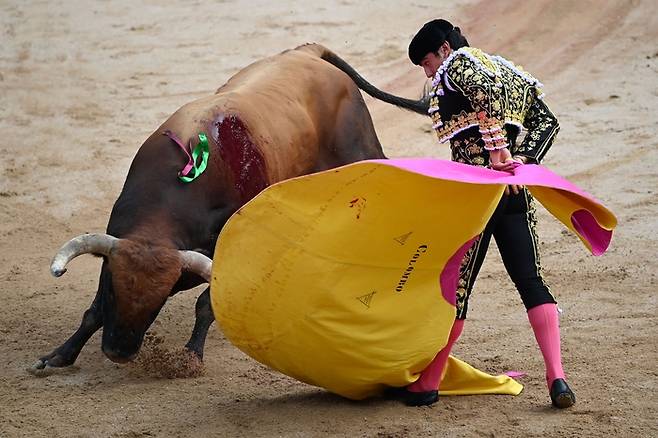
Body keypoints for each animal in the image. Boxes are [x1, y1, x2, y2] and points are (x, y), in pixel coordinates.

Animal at [32, 44, 426, 372]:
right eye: (116, 289)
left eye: (158, 301)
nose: (118, 352)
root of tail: (307, 52)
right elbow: (94, 311)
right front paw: (59, 355)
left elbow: (205, 304)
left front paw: (191, 357)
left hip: (360, 149)